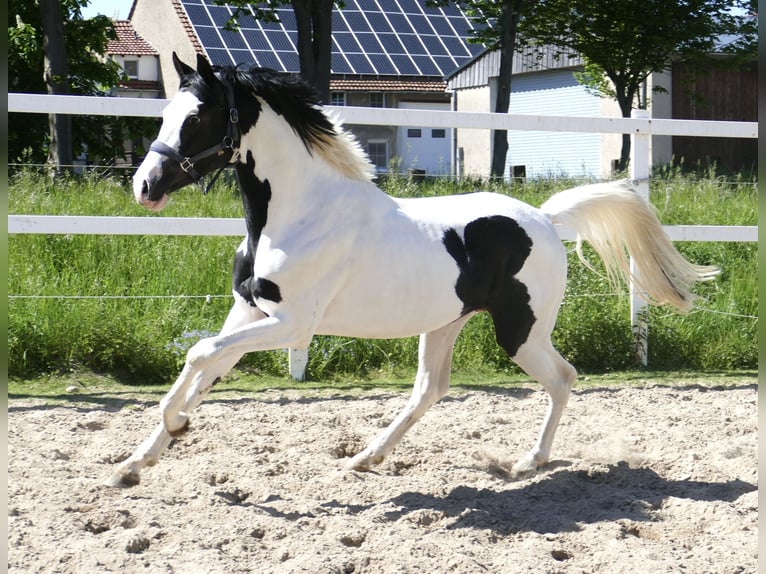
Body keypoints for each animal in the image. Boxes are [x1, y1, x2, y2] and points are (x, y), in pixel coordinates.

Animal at [103, 51, 720, 488]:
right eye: (164, 114)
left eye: (198, 117)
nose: (145, 186)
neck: (298, 215)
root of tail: (544, 219)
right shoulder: (248, 312)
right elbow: (204, 366)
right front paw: (135, 463)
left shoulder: (293, 325)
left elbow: (197, 354)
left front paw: (175, 428)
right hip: (445, 323)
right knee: (430, 388)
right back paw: (366, 458)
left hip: (521, 331)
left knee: (562, 379)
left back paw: (526, 463)